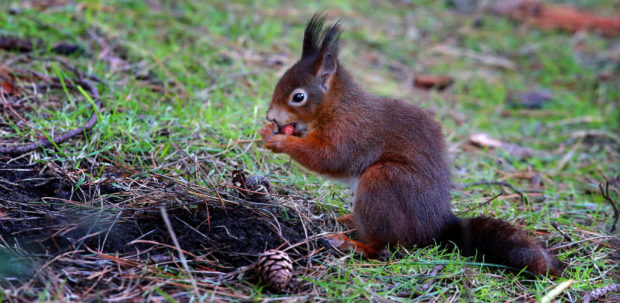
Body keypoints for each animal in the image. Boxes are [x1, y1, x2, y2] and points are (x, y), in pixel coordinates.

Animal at [260, 14, 564, 276]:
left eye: (298, 97)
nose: (270, 116)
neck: (337, 106)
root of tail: (435, 227)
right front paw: (268, 131)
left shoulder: (352, 132)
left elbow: (329, 158)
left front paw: (281, 140)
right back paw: (349, 220)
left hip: (384, 182)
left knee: (384, 246)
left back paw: (351, 243)